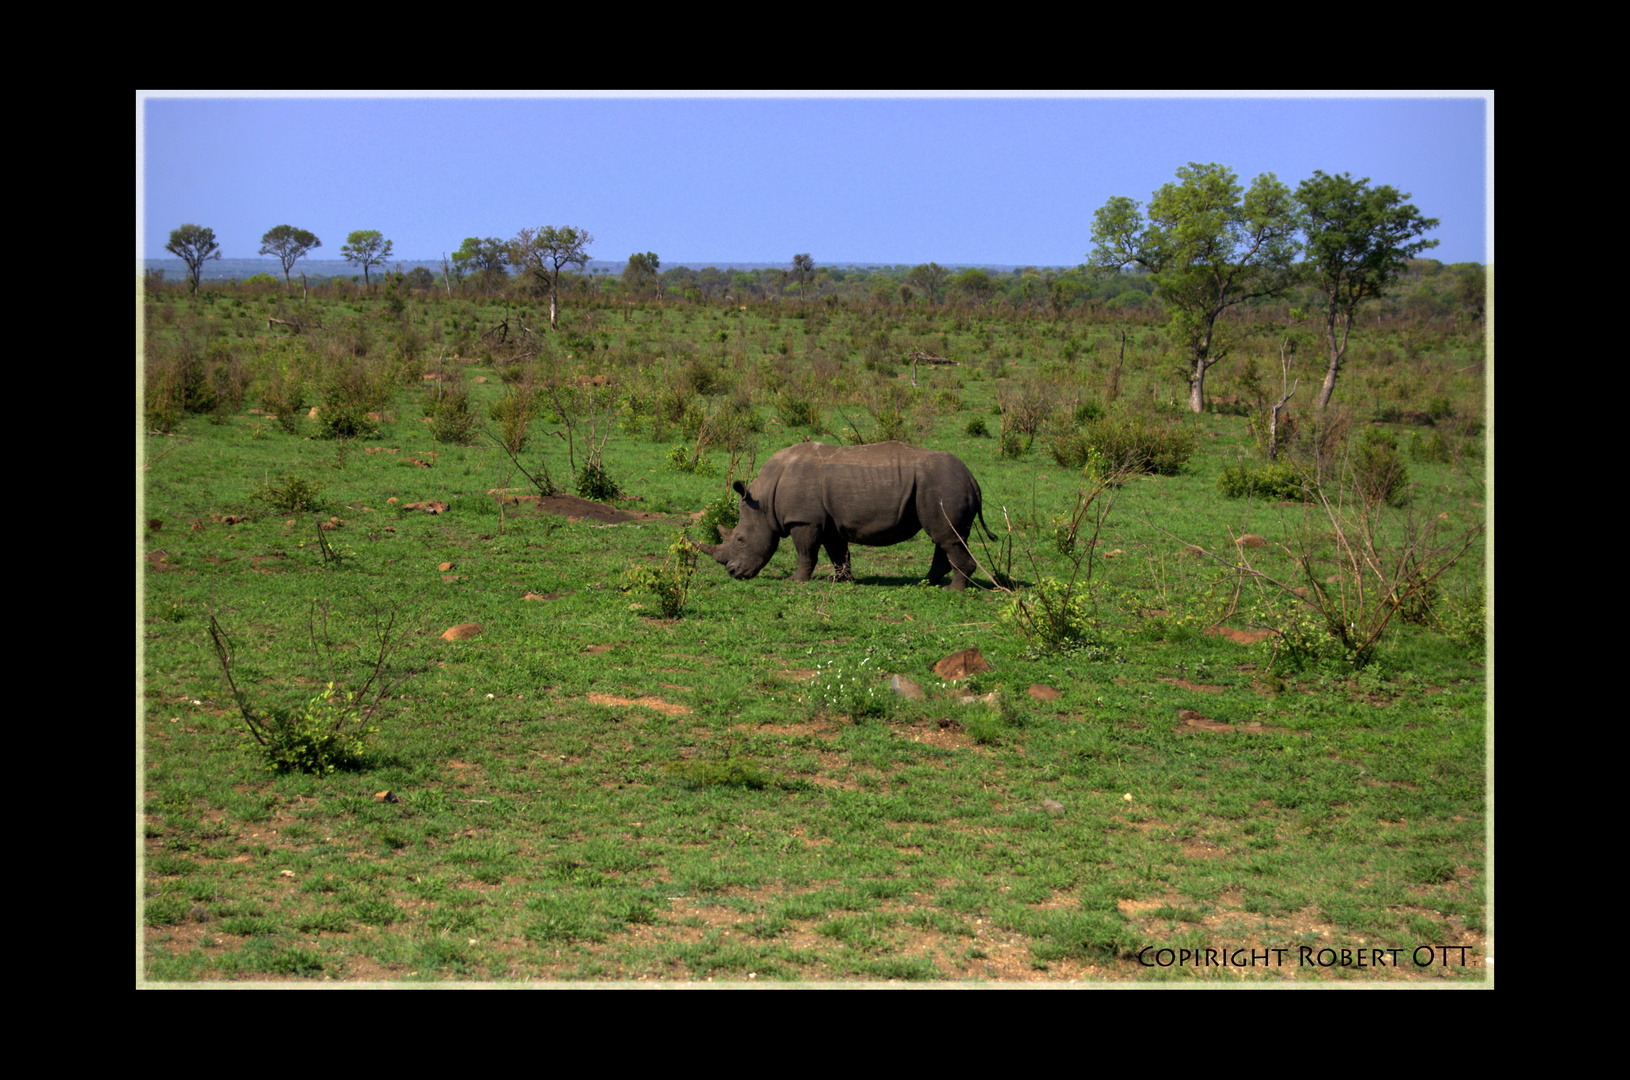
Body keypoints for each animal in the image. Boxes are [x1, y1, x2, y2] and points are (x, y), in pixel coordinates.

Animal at [694, 439, 984, 592]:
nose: (733, 572)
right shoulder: (828, 520)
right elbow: (838, 552)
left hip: (942, 485)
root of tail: (971, 477)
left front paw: (795, 581)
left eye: (741, 539)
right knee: (944, 536)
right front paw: (840, 580)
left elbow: (805, 552)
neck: (763, 500)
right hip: (939, 485)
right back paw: (927, 583)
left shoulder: (804, 520)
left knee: (947, 536)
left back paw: (953, 590)